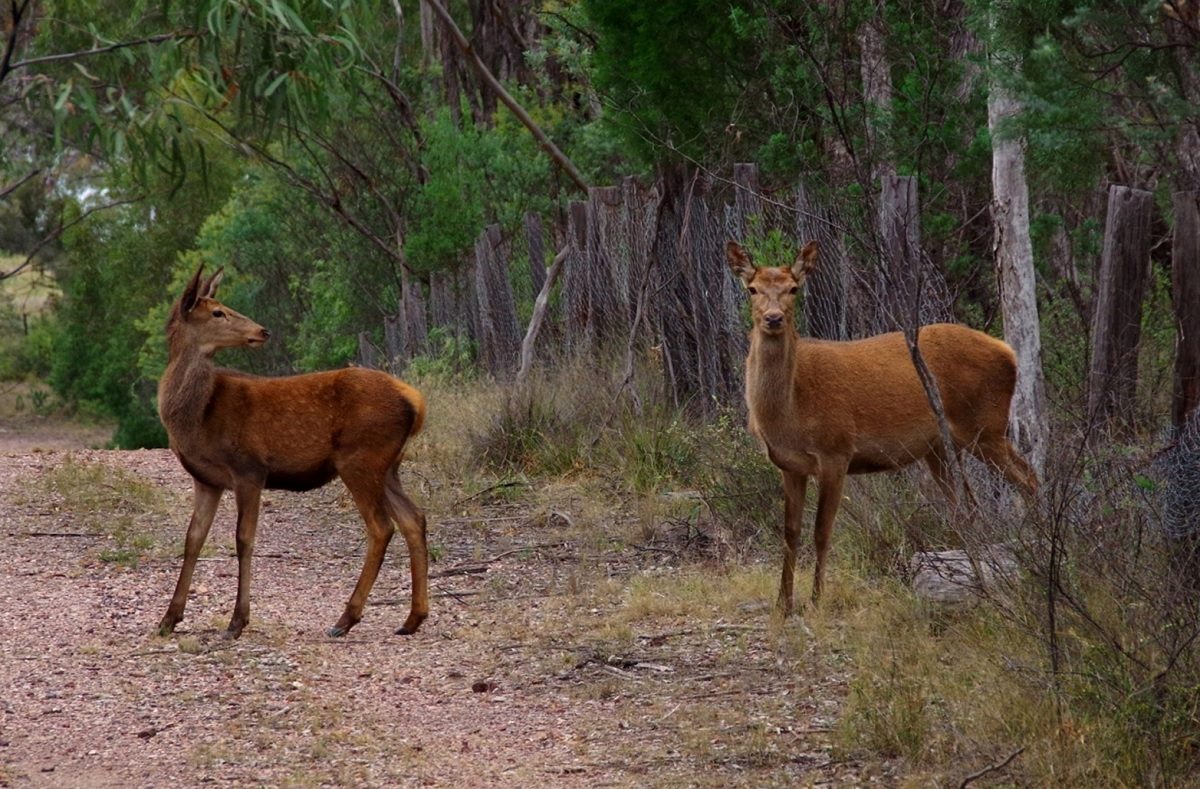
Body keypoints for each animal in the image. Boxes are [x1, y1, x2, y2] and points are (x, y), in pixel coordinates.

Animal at [156, 265, 429, 640]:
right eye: (217, 312)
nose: (262, 330)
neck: (195, 417)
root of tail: (415, 401)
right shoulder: (206, 479)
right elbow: (193, 539)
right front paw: (169, 619)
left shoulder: (249, 469)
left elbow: (244, 539)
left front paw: (237, 621)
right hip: (388, 466)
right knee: (414, 518)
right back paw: (413, 618)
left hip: (359, 458)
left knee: (381, 526)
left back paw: (345, 619)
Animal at [726, 240, 1038, 615]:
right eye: (752, 288)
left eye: (794, 288)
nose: (773, 318)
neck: (789, 412)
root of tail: (1009, 352)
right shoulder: (790, 465)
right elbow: (790, 532)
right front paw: (783, 604)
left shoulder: (836, 450)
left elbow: (822, 530)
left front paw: (816, 600)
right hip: (941, 448)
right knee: (966, 508)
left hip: (986, 427)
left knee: (1029, 478)